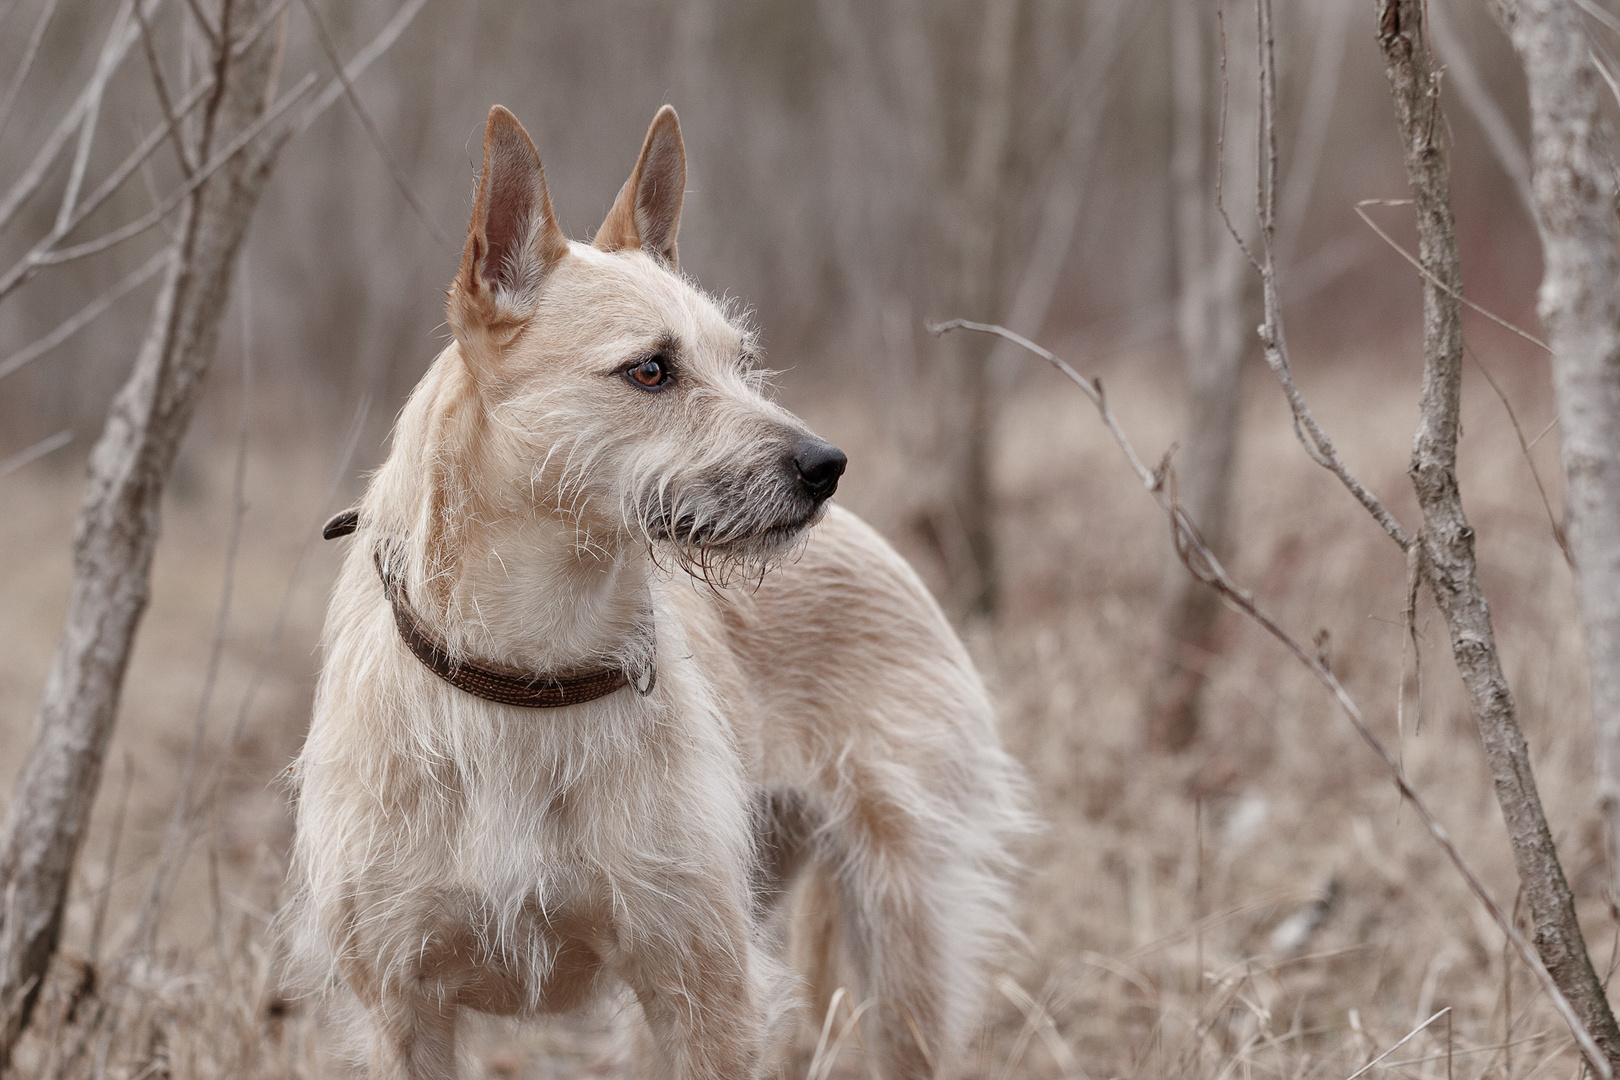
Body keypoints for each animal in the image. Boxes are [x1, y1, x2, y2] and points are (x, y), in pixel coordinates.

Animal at [285, 103, 1030, 1080]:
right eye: (650, 370)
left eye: (741, 361)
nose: (826, 466)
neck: (527, 668)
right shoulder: (402, 1010)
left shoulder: (704, 992)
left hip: (900, 937)